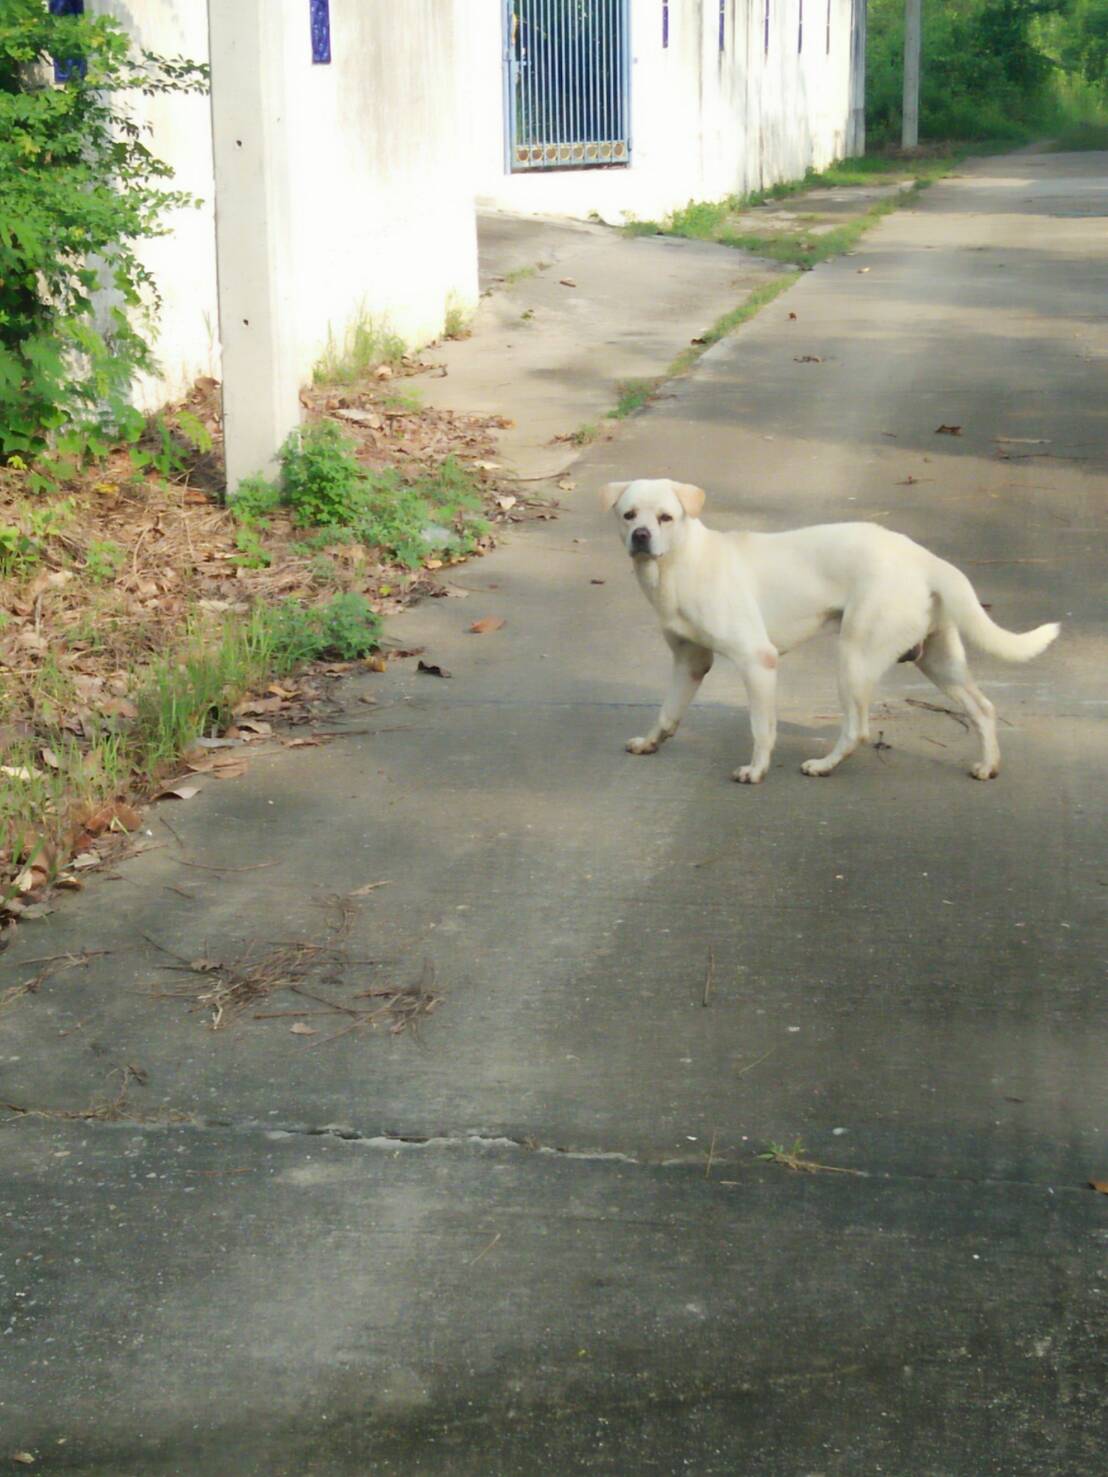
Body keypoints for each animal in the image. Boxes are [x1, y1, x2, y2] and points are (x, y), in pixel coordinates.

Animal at [602, 481, 1063, 785]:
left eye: (666, 517)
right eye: (629, 515)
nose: (641, 536)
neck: (680, 564)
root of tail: (926, 558)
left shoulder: (757, 660)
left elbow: (761, 728)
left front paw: (756, 770)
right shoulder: (690, 662)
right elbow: (667, 713)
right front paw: (649, 742)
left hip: (854, 659)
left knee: (858, 729)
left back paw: (823, 765)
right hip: (939, 661)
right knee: (983, 709)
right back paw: (988, 765)